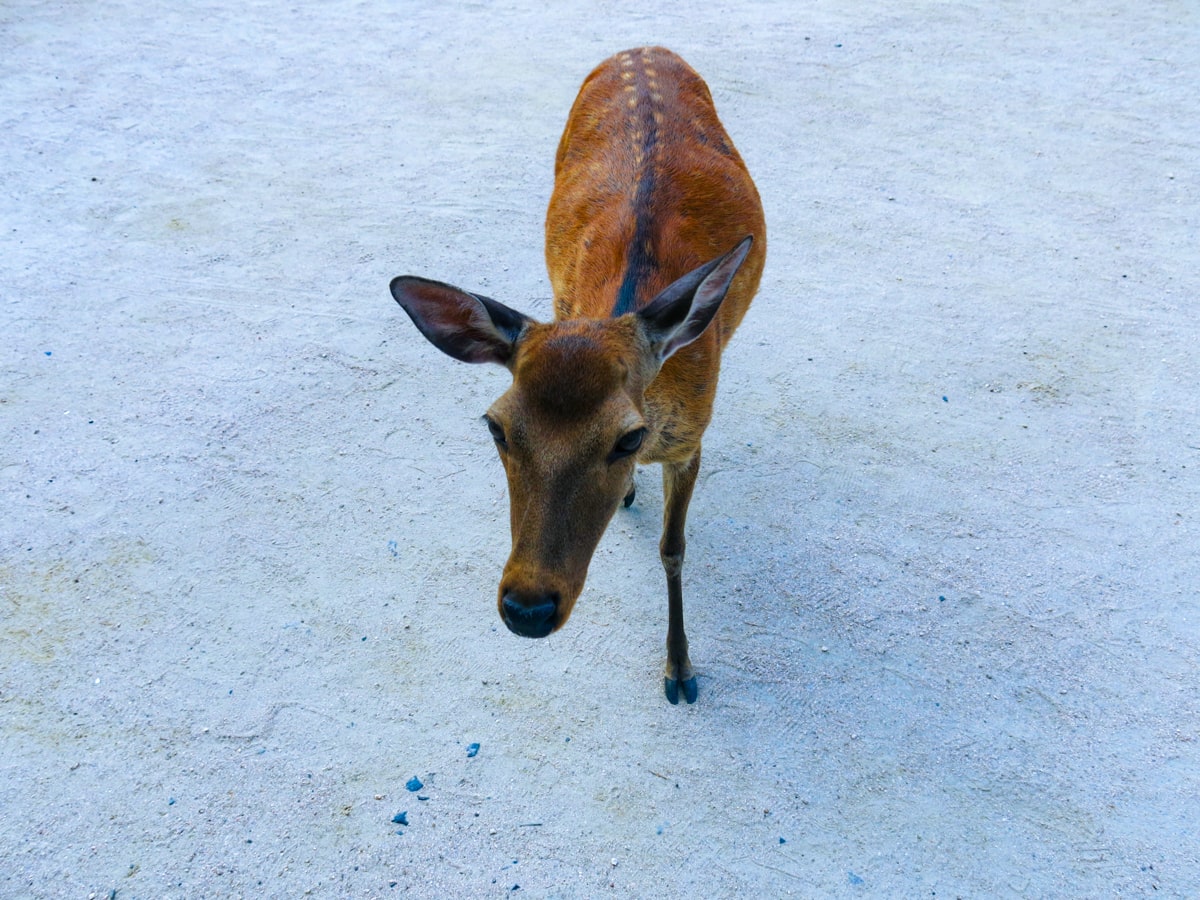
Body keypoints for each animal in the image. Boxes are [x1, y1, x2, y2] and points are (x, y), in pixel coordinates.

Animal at [393, 45, 768, 705]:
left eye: (629, 437)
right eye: (495, 426)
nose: (528, 608)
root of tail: (646, 45)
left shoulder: (692, 440)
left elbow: (674, 550)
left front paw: (680, 671)